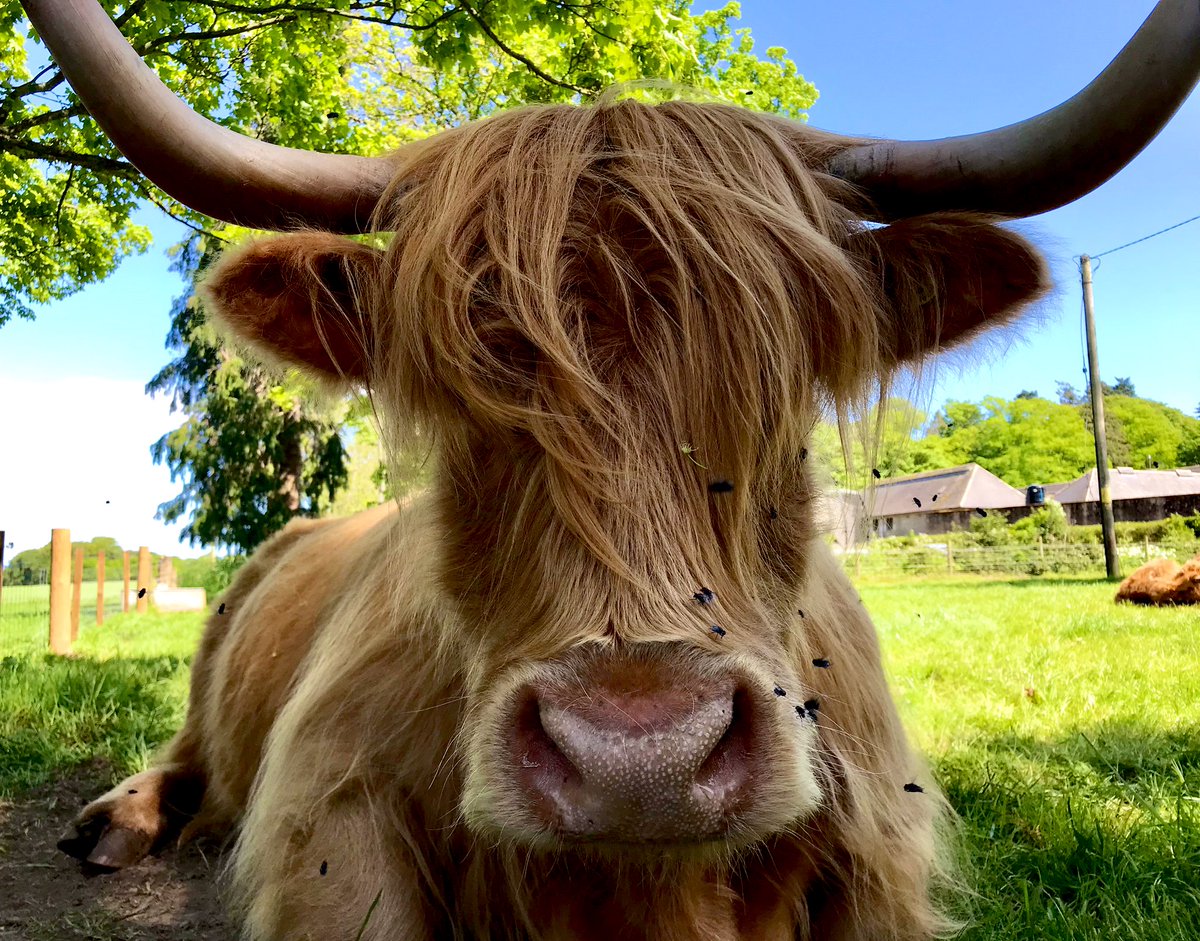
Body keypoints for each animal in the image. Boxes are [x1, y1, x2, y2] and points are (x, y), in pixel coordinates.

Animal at [25, 0, 1200, 936]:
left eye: (785, 405)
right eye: (463, 406)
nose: (641, 760)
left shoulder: (883, 844)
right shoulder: (328, 806)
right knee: (187, 750)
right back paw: (114, 820)